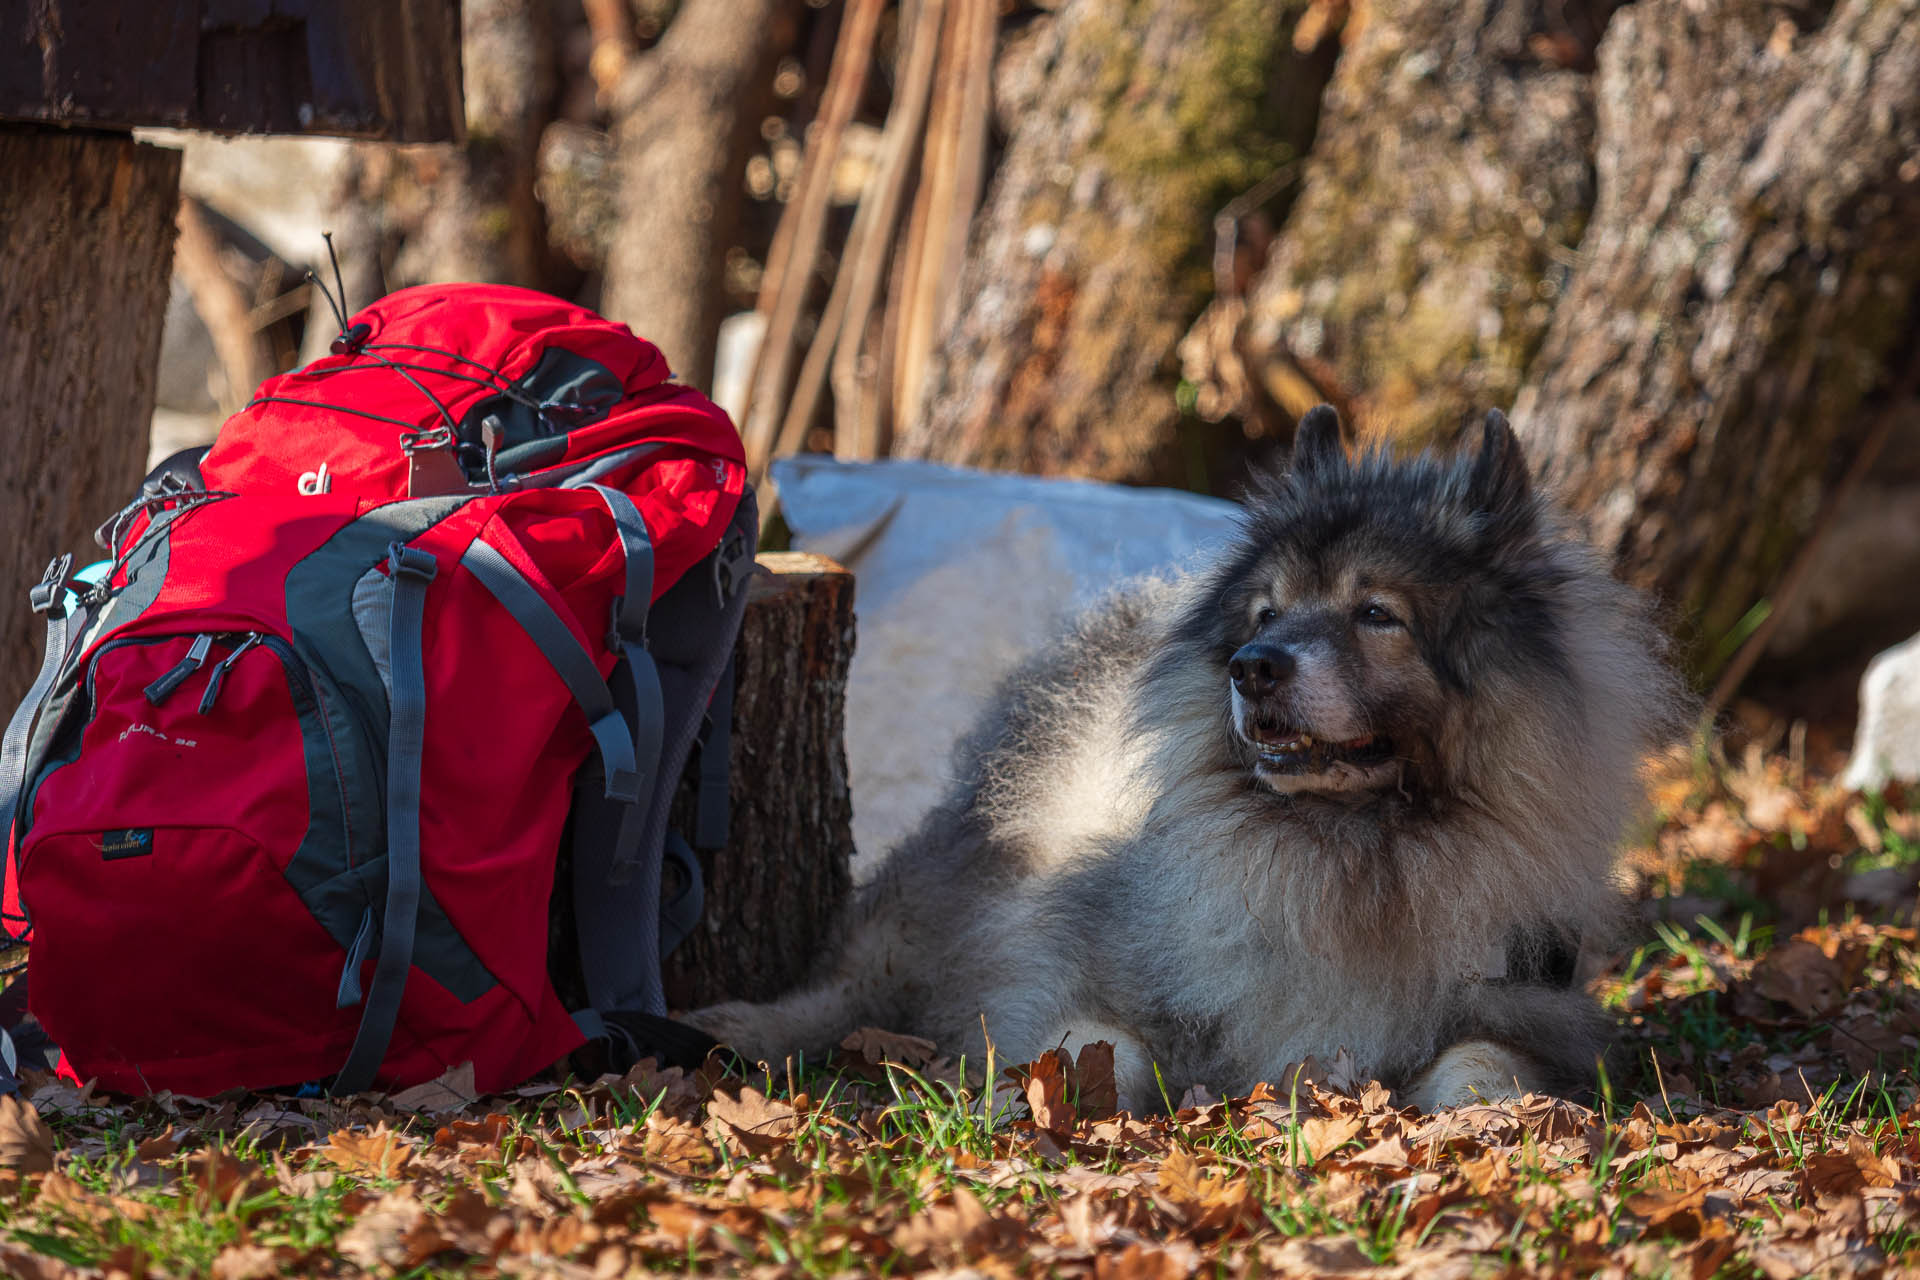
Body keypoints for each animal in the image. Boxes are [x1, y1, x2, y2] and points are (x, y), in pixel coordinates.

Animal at [691, 410, 1681, 1113]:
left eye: (1377, 615)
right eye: (1266, 612)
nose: (1254, 667)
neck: (1348, 858)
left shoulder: (1537, 1011)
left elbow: (1485, 1066)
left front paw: (1489, 1123)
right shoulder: (1068, 968)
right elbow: (1091, 1048)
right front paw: (1032, 1109)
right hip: (946, 897)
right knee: (855, 981)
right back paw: (739, 1029)